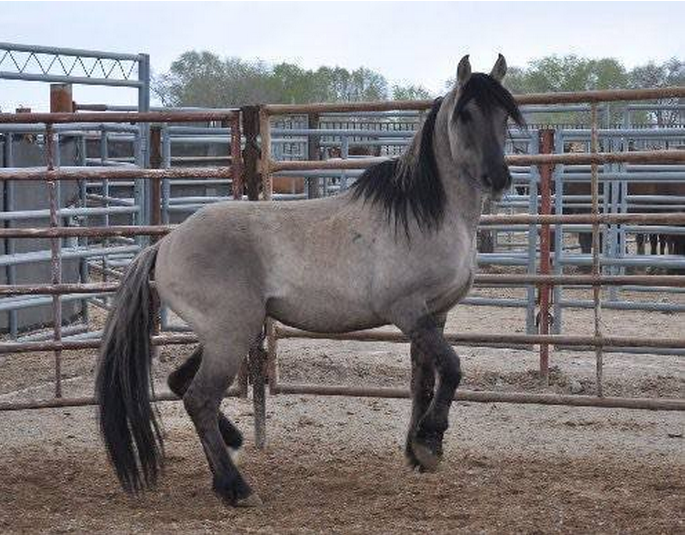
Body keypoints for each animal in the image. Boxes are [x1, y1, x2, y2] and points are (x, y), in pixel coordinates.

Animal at [95, 55, 524, 507]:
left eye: (503, 115)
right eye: (466, 114)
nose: (498, 178)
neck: (425, 215)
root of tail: (164, 245)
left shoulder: (435, 314)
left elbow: (423, 380)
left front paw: (420, 450)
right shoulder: (407, 311)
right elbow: (453, 368)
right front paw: (429, 441)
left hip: (228, 332)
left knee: (182, 384)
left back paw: (232, 449)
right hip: (231, 333)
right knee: (200, 398)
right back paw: (237, 487)